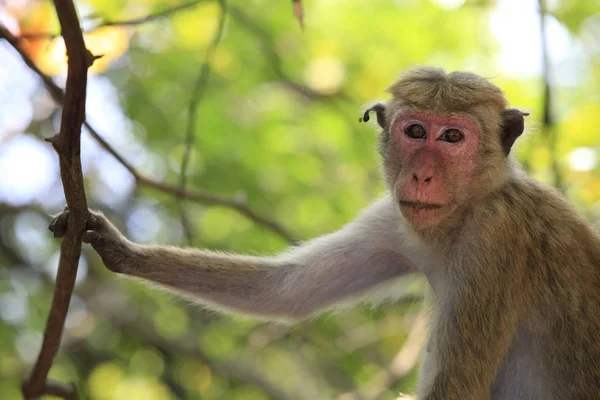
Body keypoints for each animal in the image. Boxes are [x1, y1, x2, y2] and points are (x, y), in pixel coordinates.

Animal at [50, 67, 600, 398]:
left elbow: (454, 389)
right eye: (415, 132)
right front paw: (116, 247)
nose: (421, 175)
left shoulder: (496, 241)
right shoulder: (396, 221)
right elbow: (288, 290)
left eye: (452, 137)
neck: (470, 208)